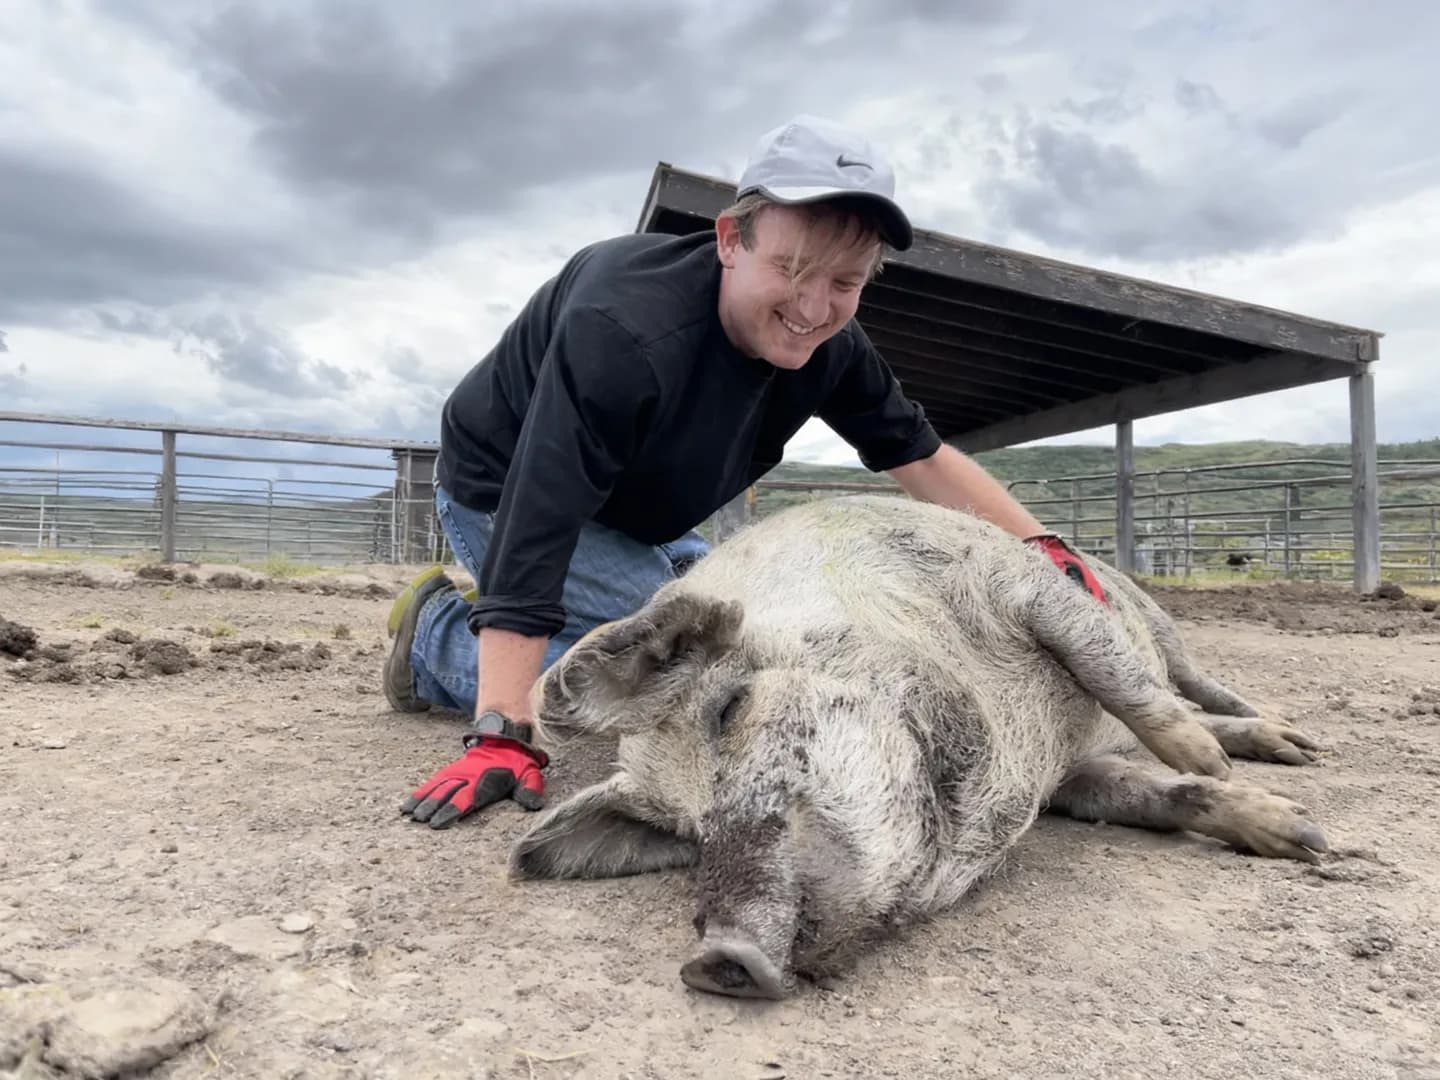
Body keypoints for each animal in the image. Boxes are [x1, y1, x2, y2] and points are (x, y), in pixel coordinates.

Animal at [508, 494, 1329, 1000]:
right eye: (684, 830)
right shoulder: (1070, 779)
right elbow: (1154, 796)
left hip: (1156, 618)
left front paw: (1250, 792)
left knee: (1192, 684)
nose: (716, 958)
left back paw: (1293, 746)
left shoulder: (1020, 589)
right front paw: (1301, 837)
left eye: (731, 709)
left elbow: (1112, 671)